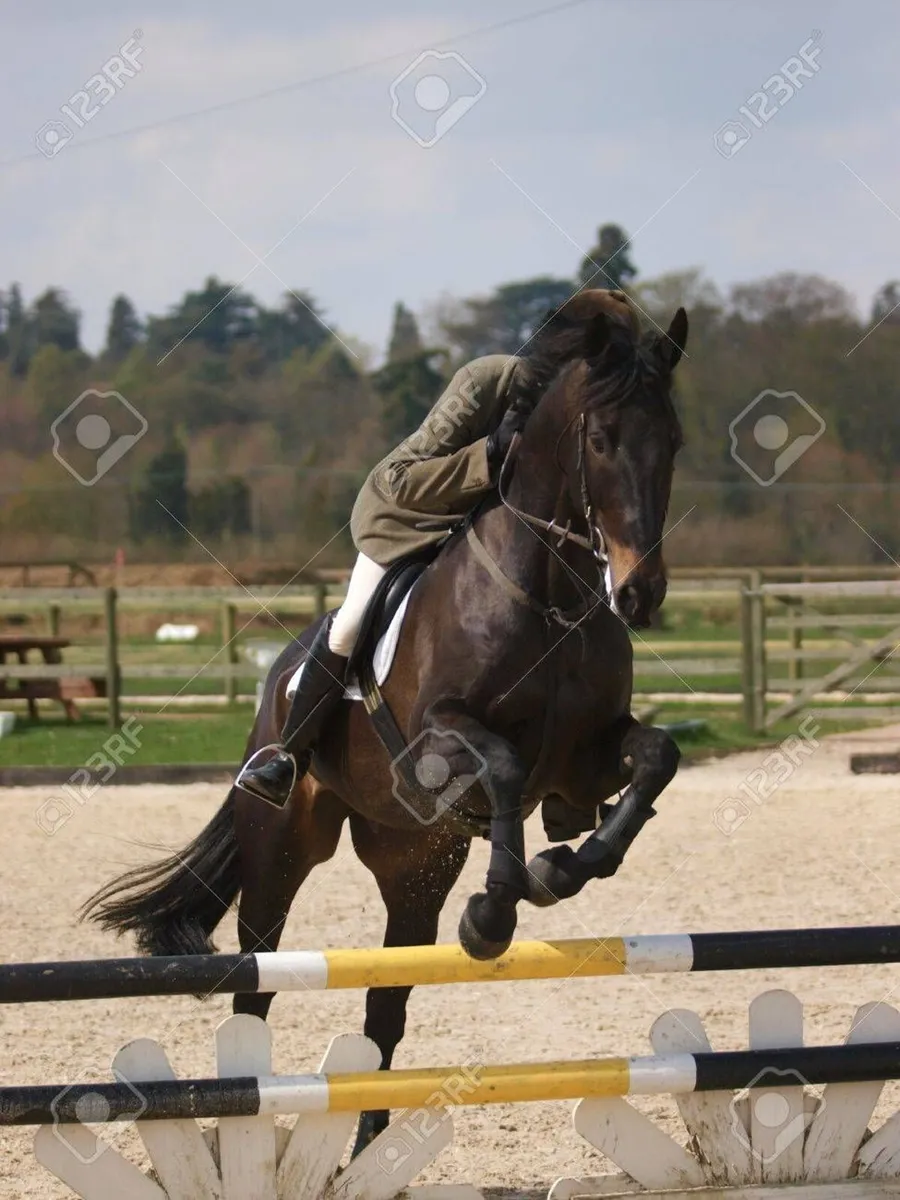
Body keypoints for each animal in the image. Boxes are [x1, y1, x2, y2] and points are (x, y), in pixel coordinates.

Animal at [83, 303, 689, 1152]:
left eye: (673, 441)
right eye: (601, 439)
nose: (639, 593)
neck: (549, 598)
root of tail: (273, 692)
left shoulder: (585, 758)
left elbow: (656, 757)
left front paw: (563, 866)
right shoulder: (437, 745)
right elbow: (504, 765)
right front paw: (496, 911)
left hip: (414, 869)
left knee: (385, 1006)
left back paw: (366, 1148)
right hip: (282, 849)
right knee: (256, 982)